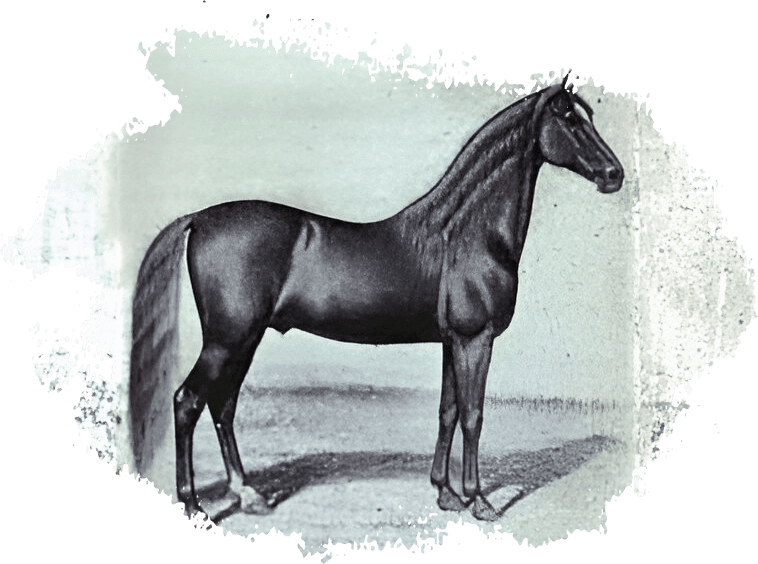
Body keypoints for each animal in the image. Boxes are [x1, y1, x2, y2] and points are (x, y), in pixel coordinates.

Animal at [128, 73, 624, 522]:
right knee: (188, 402)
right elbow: (473, 415)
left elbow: (447, 412)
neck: (464, 235)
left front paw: (445, 493)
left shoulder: (452, 342)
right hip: (227, 340)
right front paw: (479, 500)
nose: (614, 175)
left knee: (223, 405)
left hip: (243, 340)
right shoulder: (475, 340)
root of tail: (198, 218)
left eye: (588, 116)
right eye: (569, 119)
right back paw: (194, 505)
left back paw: (249, 496)